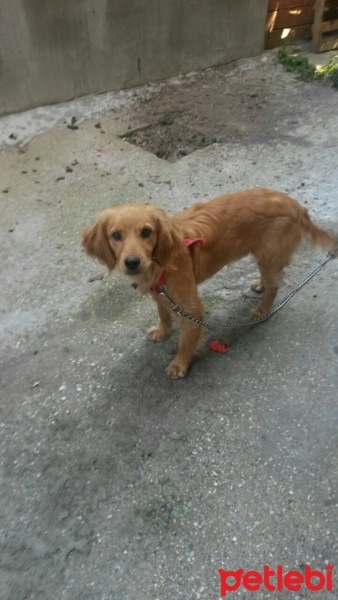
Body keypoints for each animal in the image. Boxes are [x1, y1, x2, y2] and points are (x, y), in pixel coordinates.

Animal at [82, 188, 336, 378]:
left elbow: (185, 341)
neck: (161, 262)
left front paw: (180, 364)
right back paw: (260, 284)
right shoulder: (160, 294)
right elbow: (163, 313)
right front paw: (163, 330)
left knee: (275, 285)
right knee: (270, 279)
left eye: (146, 232)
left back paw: (263, 308)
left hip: (269, 255)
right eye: (116, 235)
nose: (132, 262)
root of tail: (294, 204)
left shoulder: (191, 308)